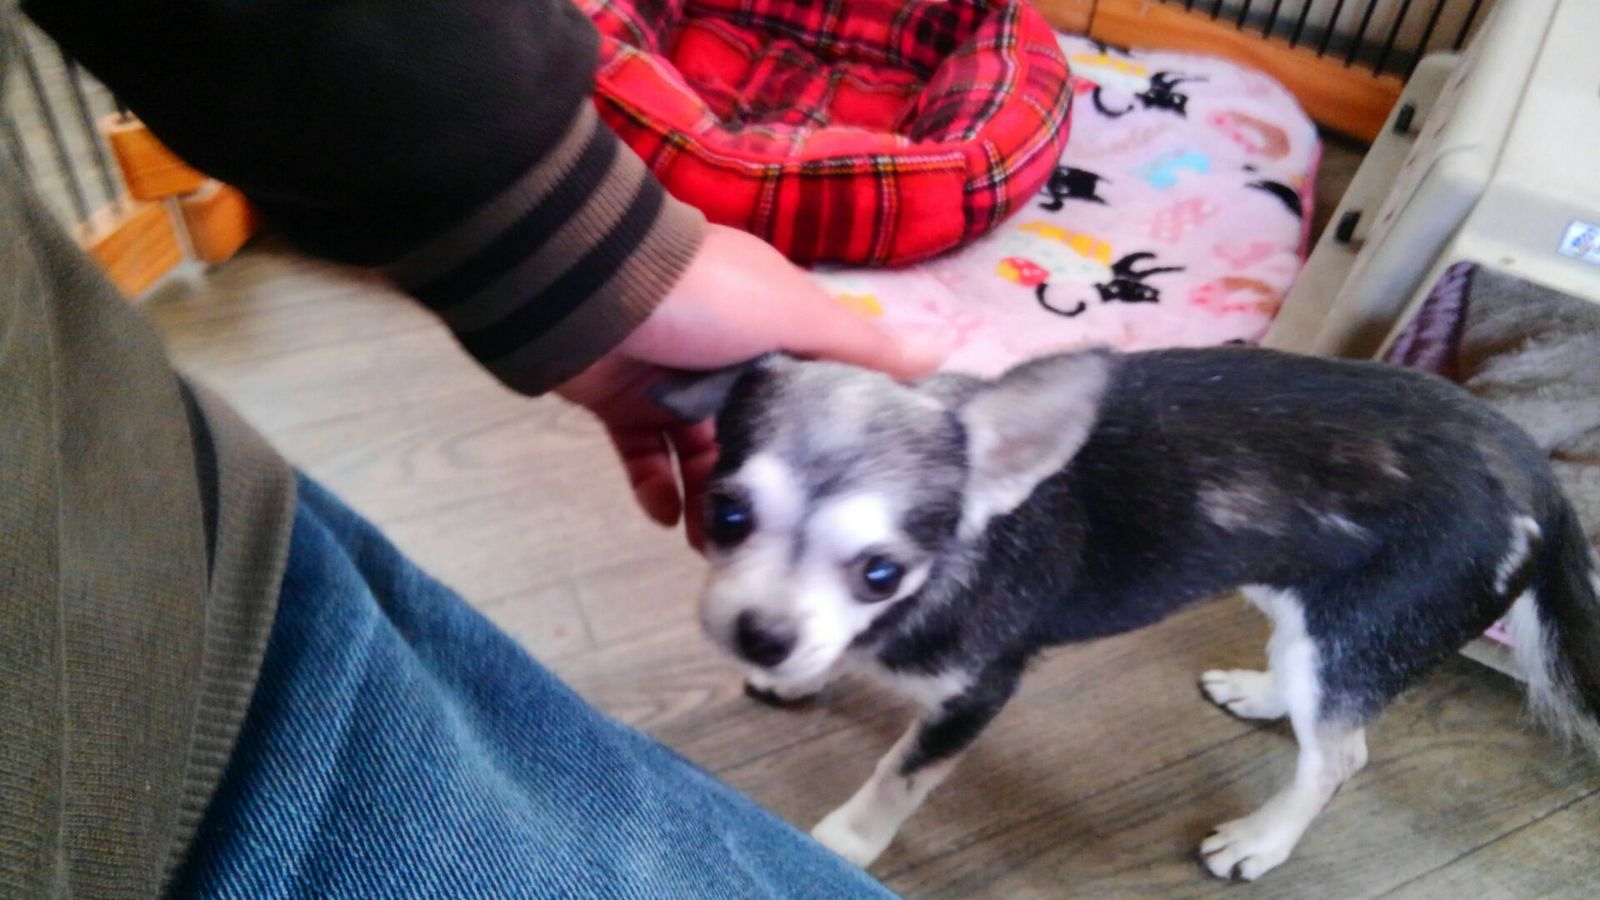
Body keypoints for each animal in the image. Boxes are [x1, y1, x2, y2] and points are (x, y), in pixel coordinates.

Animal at [654, 347, 1600, 881]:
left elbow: (900, 776)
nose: (760, 635)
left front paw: (844, 842)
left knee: (1340, 755)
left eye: (880, 573)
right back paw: (1262, 693)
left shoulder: (976, 693)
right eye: (724, 515)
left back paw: (1263, 840)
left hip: (1367, 625)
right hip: (1298, 593)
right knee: (1312, 694)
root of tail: (1537, 479)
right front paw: (797, 676)